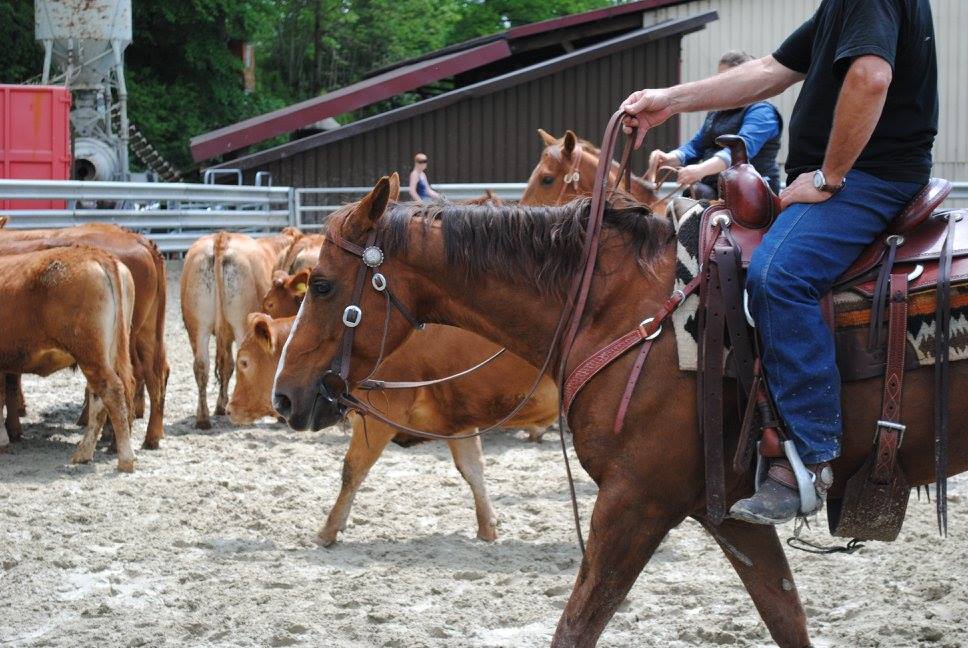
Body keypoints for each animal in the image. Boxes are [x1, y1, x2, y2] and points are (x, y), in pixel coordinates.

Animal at [0, 245, 137, 471]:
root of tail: (97, 254)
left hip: (90, 353)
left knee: (112, 391)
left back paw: (125, 460)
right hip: (105, 353)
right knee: (98, 398)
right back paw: (84, 453)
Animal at [180, 228, 306, 429]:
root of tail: (221, 238)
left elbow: (226, 365)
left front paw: (221, 406)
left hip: (197, 325)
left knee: (202, 366)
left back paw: (203, 418)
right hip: (240, 324)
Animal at [227, 313, 557, 545]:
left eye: (243, 362)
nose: (229, 409)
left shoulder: (380, 418)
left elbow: (353, 471)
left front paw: (329, 530)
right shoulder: (457, 424)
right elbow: (472, 470)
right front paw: (487, 527)